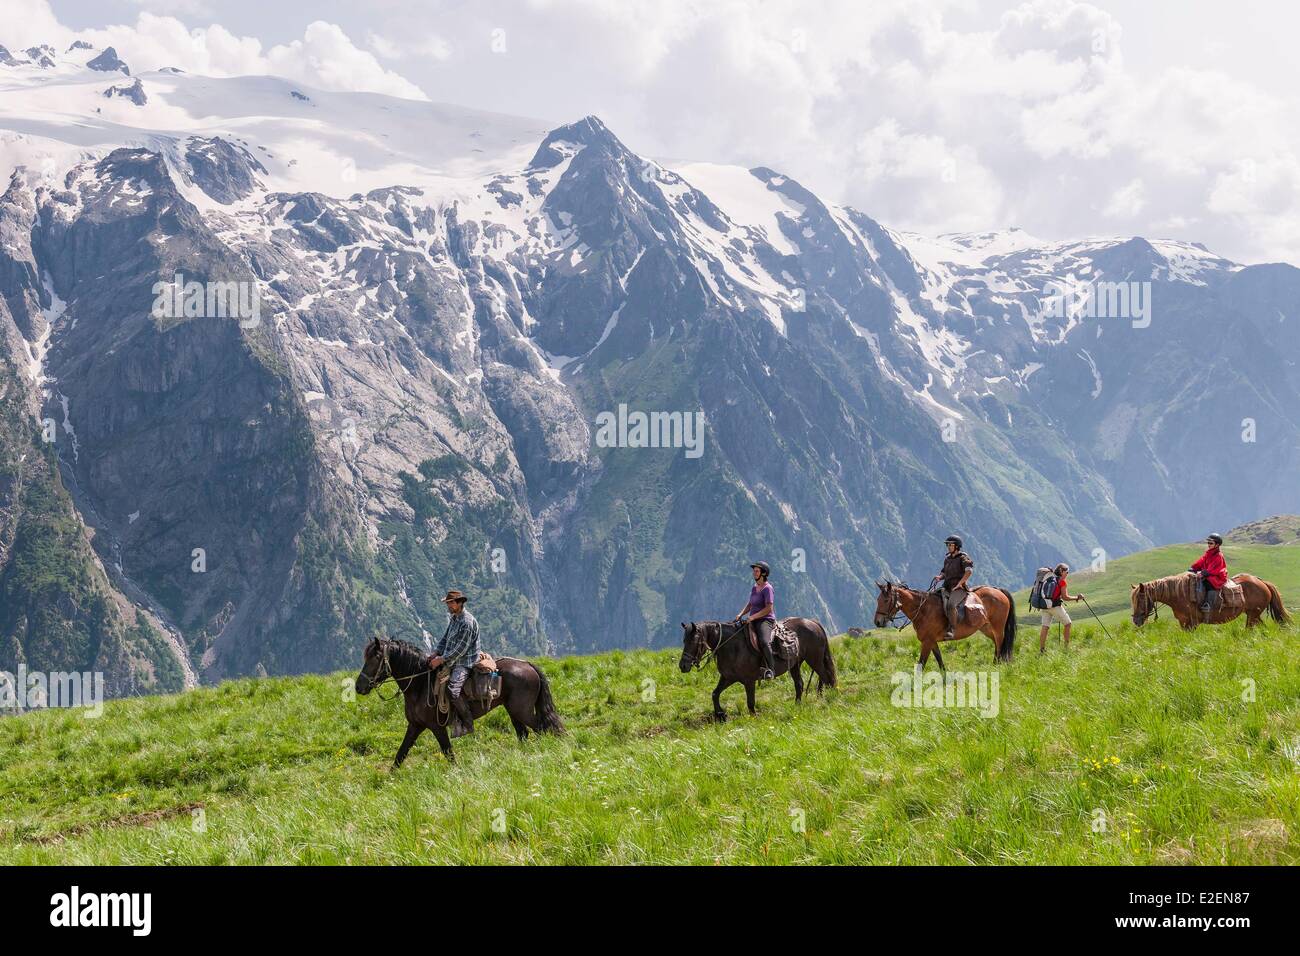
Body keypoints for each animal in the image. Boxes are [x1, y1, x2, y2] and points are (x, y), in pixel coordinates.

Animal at [356, 639, 564, 764]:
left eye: (375, 658)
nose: (359, 687)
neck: (421, 685)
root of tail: (528, 665)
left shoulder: (437, 727)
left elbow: (448, 753)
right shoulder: (415, 726)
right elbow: (400, 754)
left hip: (523, 711)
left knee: (544, 728)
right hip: (513, 711)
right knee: (524, 734)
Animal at [676, 616, 837, 723]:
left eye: (693, 641)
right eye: (684, 640)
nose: (683, 666)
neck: (732, 646)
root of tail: (812, 622)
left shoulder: (749, 681)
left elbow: (750, 702)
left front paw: (754, 717)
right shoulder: (728, 678)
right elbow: (715, 694)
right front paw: (720, 715)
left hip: (814, 659)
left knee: (825, 677)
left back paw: (827, 699)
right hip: (795, 664)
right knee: (800, 684)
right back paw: (797, 706)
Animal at [873, 580, 1013, 676]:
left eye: (886, 600)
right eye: (878, 599)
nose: (877, 622)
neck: (924, 610)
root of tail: (998, 591)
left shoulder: (927, 642)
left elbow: (921, 664)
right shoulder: (932, 641)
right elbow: (940, 661)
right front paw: (945, 680)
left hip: (997, 628)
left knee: (999, 644)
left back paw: (996, 666)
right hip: (986, 628)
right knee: (996, 644)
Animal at [1128, 572, 1289, 632]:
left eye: (1141, 599)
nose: (1136, 621)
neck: (1180, 594)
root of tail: (1262, 582)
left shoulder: (1192, 623)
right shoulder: (1183, 623)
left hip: (1252, 615)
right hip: (1254, 615)